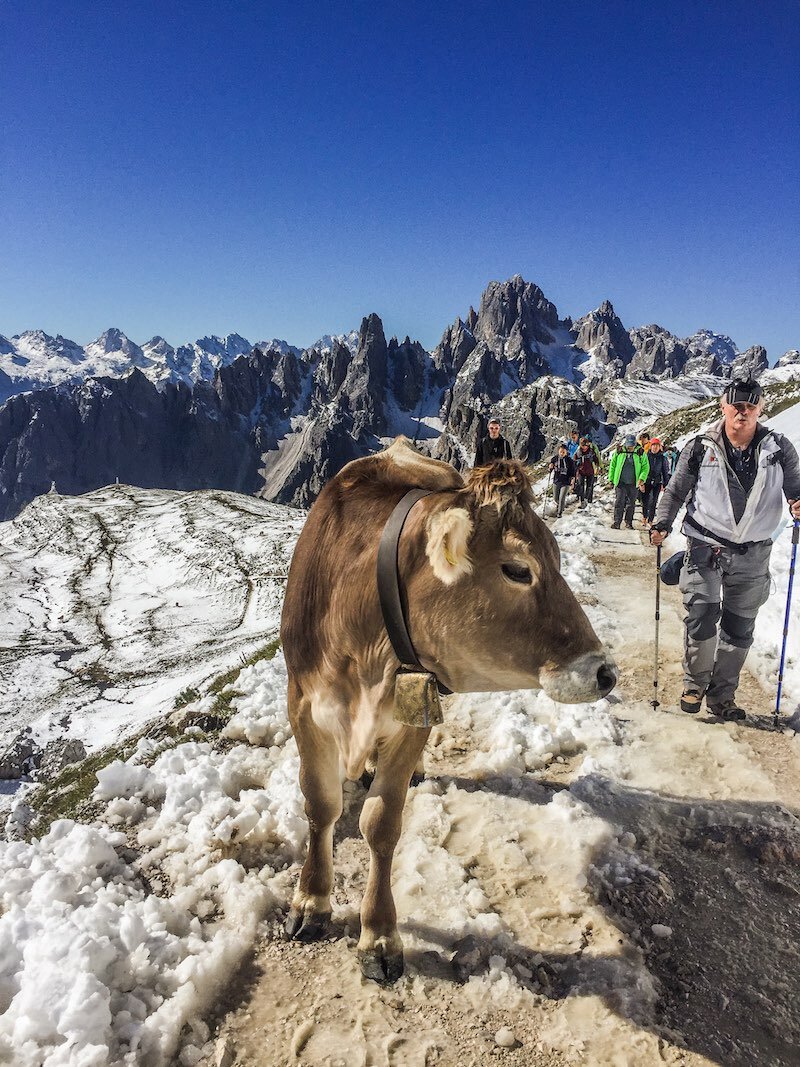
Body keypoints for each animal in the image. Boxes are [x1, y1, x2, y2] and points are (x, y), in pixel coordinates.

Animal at [281, 435, 618, 981]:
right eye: (518, 569)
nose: (605, 673)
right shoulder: (303, 706)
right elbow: (320, 804)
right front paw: (311, 902)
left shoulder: (412, 711)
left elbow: (382, 823)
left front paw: (378, 935)